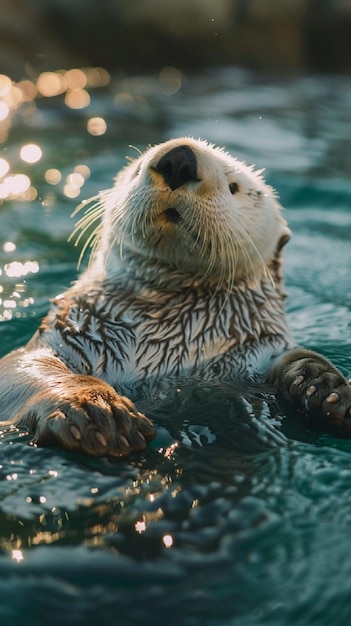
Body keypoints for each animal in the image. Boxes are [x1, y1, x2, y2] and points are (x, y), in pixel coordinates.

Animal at [0, 138, 350, 454]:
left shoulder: (253, 353)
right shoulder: (71, 332)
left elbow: (297, 360)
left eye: (234, 186)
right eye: (136, 169)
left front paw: (325, 387)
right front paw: (98, 412)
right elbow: (24, 370)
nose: (179, 159)